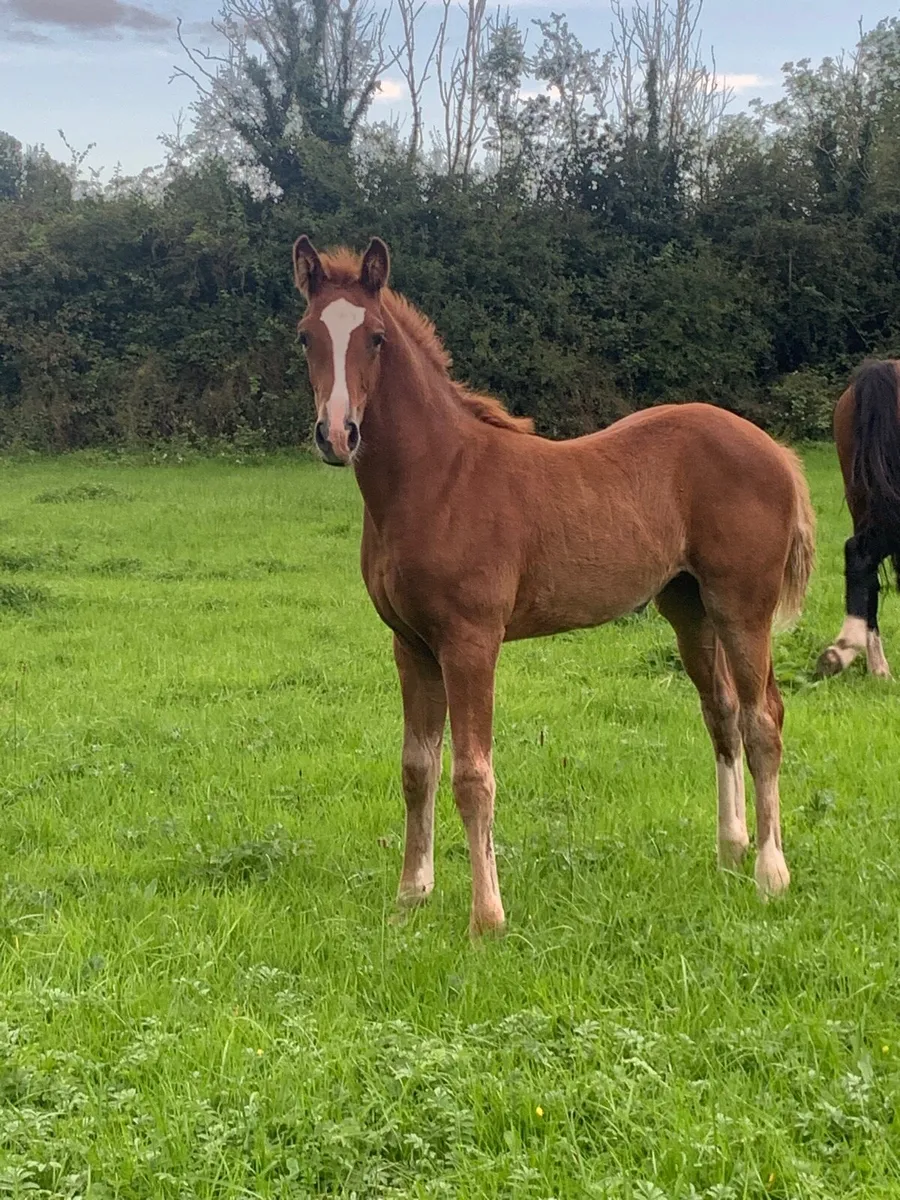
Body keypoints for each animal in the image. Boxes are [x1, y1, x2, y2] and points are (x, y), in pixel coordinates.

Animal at [292, 234, 816, 935]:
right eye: (306, 336)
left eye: (374, 337)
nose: (336, 434)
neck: (436, 480)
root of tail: (776, 451)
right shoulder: (411, 645)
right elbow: (416, 769)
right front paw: (410, 898)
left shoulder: (471, 642)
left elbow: (472, 775)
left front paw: (486, 918)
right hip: (691, 609)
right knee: (723, 713)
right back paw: (731, 852)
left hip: (743, 608)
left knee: (764, 721)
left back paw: (770, 874)